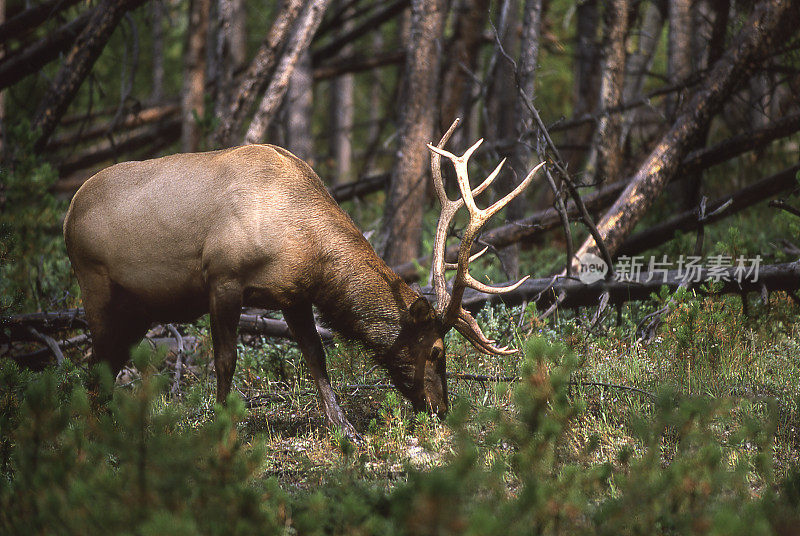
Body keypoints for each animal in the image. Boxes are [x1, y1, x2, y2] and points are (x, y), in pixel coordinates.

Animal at [62, 119, 544, 438]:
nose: (441, 410)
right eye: (439, 350)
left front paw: (345, 428)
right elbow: (225, 360)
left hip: (137, 307)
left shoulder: (292, 294)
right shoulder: (224, 279)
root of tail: (69, 211)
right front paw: (222, 422)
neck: (303, 245)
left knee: (106, 364)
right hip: (95, 284)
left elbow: (316, 357)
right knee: (93, 363)